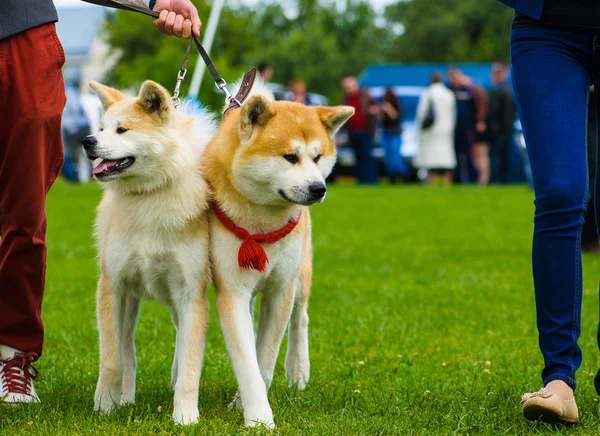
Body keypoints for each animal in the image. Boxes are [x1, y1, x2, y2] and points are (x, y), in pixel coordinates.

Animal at [84, 80, 216, 424]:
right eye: (101, 128)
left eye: (122, 130)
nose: (87, 141)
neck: (149, 196)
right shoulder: (112, 288)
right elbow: (112, 359)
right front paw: (104, 406)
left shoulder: (190, 296)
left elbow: (190, 366)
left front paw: (185, 417)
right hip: (130, 301)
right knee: (127, 351)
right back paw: (125, 399)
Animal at [203, 80, 352, 428]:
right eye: (290, 157)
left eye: (318, 157)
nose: (319, 188)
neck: (261, 221)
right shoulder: (233, 290)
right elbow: (247, 359)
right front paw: (257, 415)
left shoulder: (281, 289)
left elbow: (265, 358)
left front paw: (250, 407)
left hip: (301, 274)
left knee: (301, 317)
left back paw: (298, 369)